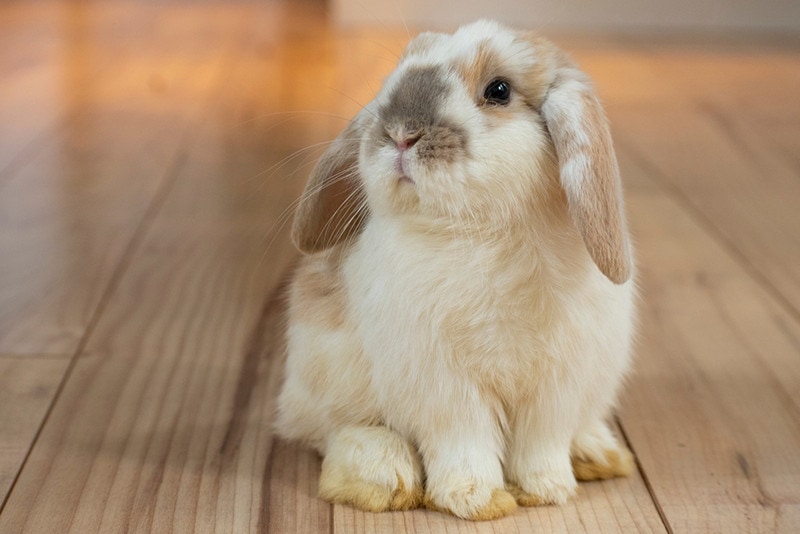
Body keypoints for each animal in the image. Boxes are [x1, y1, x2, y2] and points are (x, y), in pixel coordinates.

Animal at [276, 18, 636, 520]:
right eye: (397, 74)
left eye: (499, 90)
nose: (400, 133)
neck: (483, 231)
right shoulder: (446, 388)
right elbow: (466, 443)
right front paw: (477, 500)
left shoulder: (556, 386)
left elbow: (540, 445)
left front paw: (546, 490)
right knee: (334, 431)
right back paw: (384, 477)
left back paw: (598, 454)